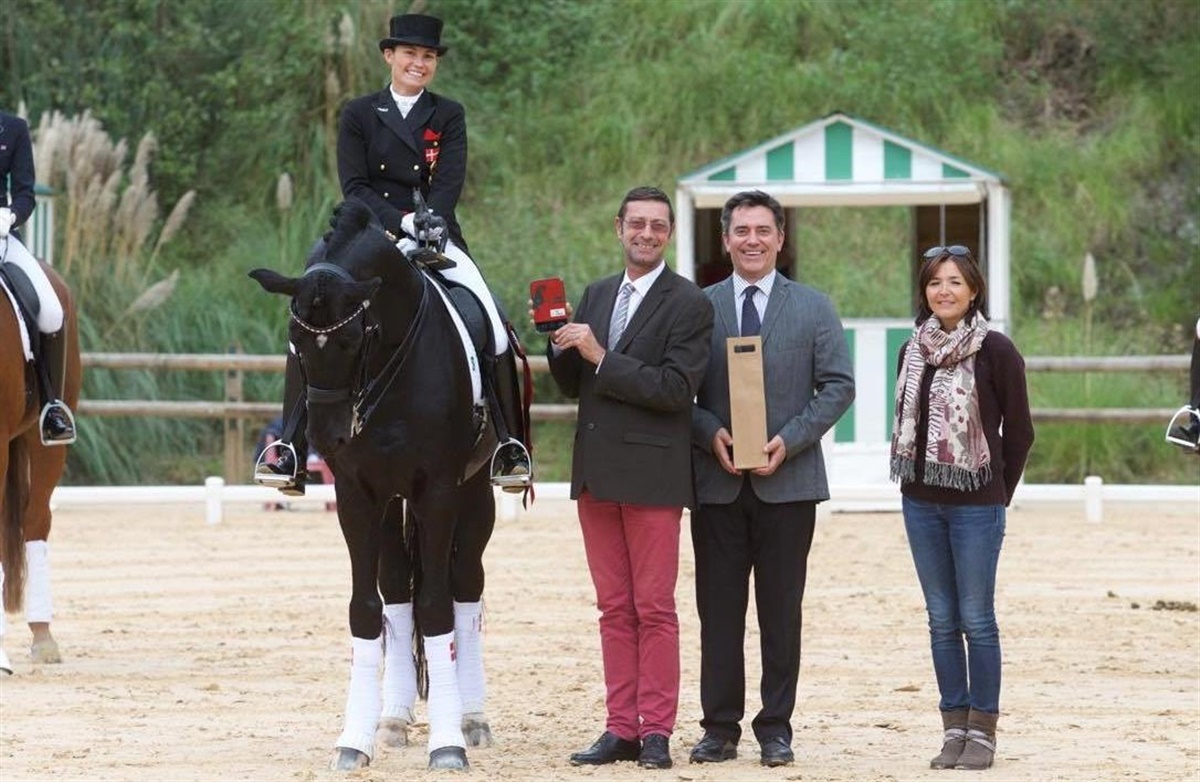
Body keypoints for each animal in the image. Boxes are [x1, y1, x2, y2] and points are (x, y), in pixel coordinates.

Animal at [250, 198, 501, 771]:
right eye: (297, 344)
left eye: (349, 339)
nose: (328, 436)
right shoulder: (357, 494)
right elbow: (367, 609)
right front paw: (353, 741)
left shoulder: (438, 491)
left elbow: (437, 607)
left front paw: (447, 745)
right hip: (390, 504)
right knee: (397, 588)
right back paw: (392, 720)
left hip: (476, 494)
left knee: (465, 586)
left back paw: (472, 718)